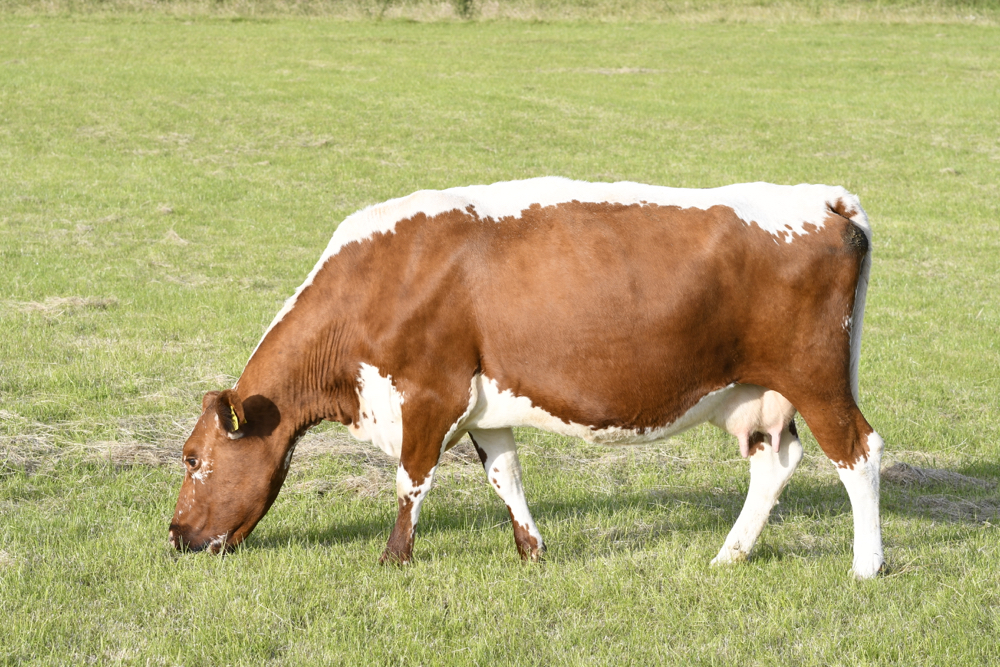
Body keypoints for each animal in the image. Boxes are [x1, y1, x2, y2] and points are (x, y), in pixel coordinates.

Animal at [168, 177, 885, 579]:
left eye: (193, 459)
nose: (175, 537)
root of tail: (822, 200)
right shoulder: (485, 406)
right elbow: (503, 476)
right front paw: (532, 551)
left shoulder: (430, 393)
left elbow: (410, 480)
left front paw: (393, 561)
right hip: (758, 394)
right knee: (774, 464)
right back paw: (729, 555)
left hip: (817, 379)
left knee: (859, 452)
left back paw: (867, 565)